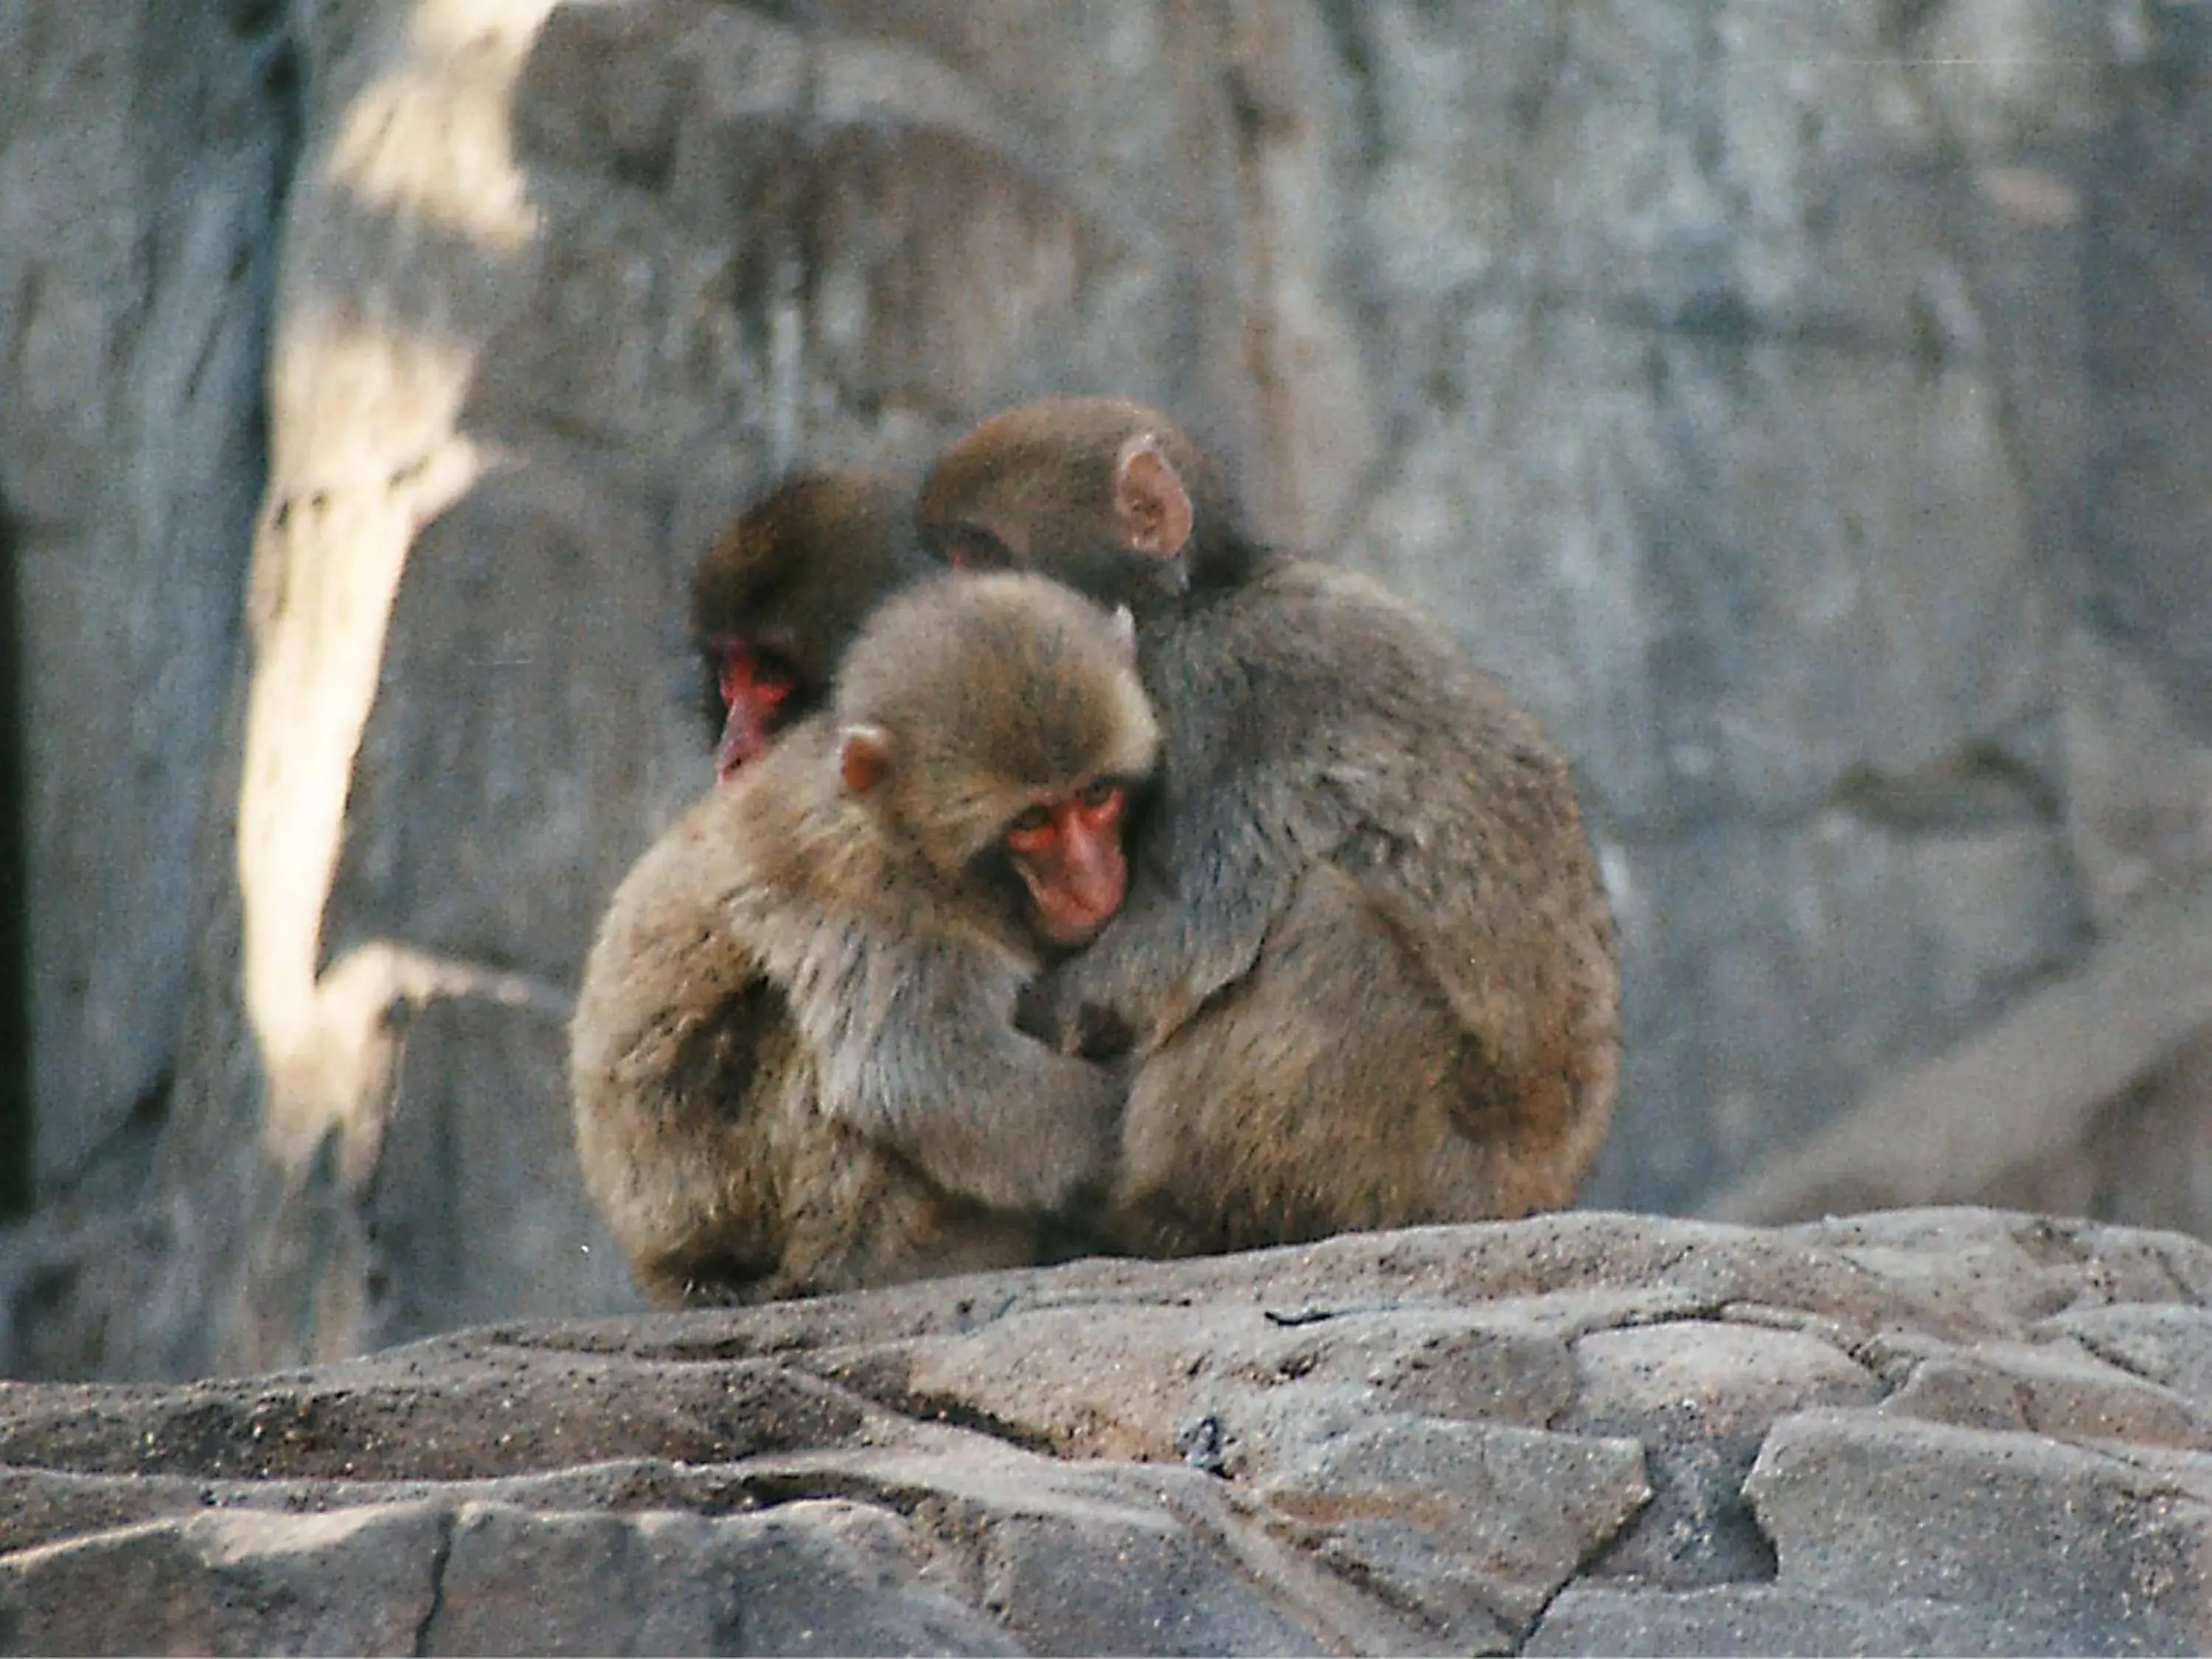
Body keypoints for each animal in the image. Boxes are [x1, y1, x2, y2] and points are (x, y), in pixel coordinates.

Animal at [566, 571, 1159, 1310]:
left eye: (1098, 794)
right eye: (1030, 823)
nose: (1091, 877)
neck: (907, 832)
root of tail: (658, 1267)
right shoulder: (867, 885)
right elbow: (916, 1066)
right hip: (718, 1198)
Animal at [916, 400, 1628, 1256]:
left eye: (982, 557)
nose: (951, 619)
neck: (1192, 599)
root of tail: (1536, 1192)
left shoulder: (1214, 695)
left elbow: (1180, 936)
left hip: (1424, 1172)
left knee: (1325, 929)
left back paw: (1172, 1217)